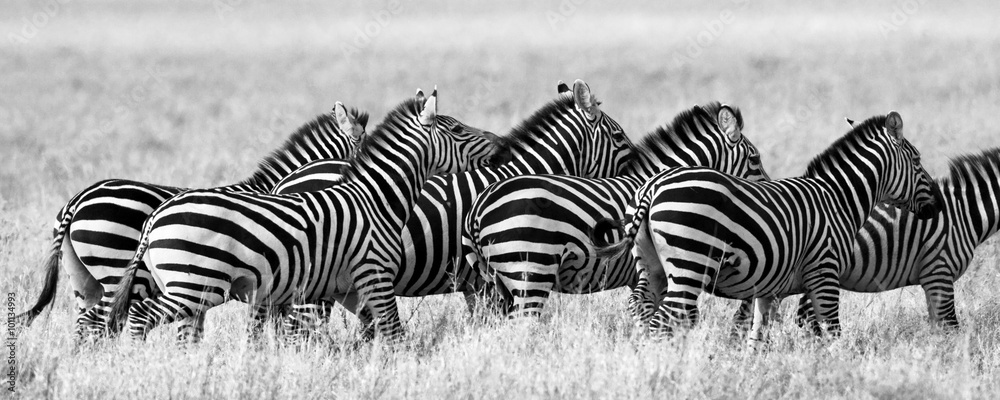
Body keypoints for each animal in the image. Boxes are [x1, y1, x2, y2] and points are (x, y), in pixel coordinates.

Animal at [97, 90, 500, 343]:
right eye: (459, 130)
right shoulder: (373, 275)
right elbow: (392, 333)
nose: (498, 144)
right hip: (187, 285)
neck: (376, 198)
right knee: (133, 318)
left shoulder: (332, 288)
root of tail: (156, 218)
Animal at [595, 111, 942, 347]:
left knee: (642, 309)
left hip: (650, 267)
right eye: (917, 160)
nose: (937, 205)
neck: (838, 199)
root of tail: (653, 186)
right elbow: (831, 331)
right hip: (689, 266)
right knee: (665, 320)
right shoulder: (825, 273)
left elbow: (758, 334)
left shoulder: (768, 287)